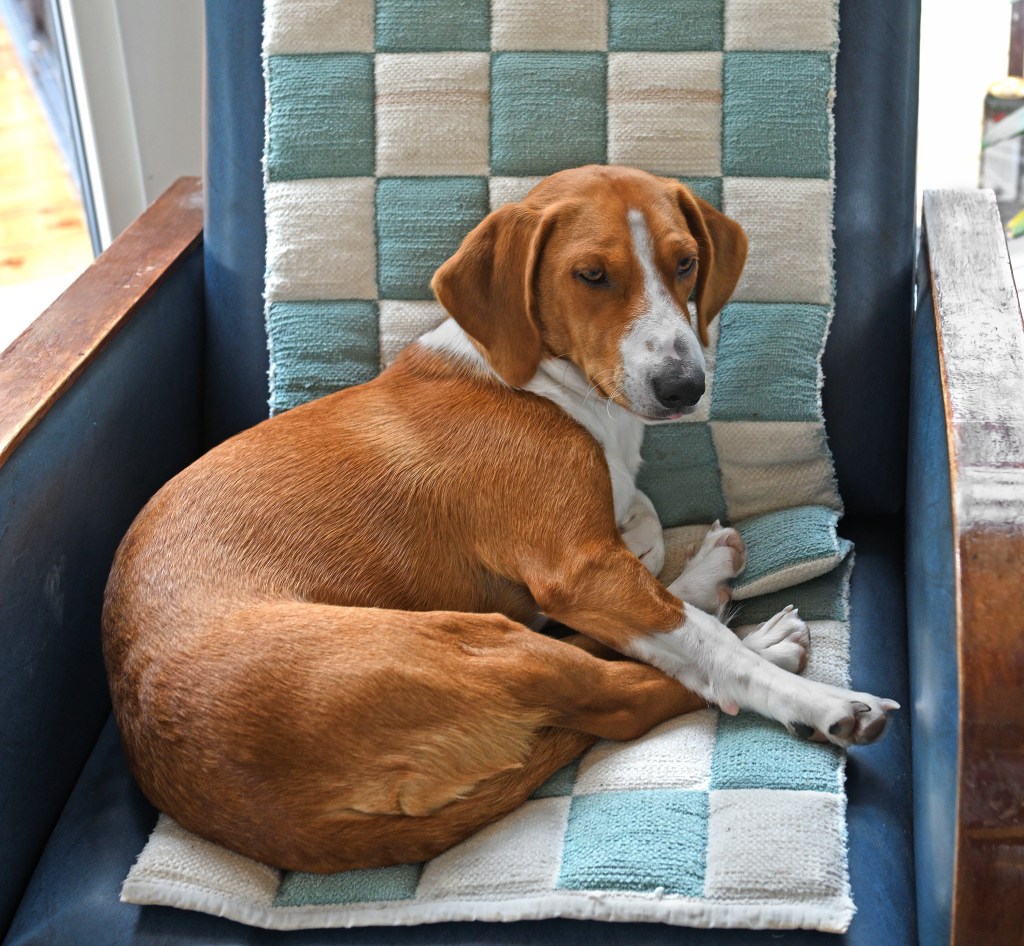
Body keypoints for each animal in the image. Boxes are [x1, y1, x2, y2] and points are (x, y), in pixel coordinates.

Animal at [103, 165, 901, 876]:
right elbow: (693, 643)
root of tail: (276, 827)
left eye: (685, 263)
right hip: (475, 640)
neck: (548, 386)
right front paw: (795, 685)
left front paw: (677, 568)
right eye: (591, 275)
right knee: (633, 696)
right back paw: (787, 666)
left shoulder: (593, 559)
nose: (684, 387)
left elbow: (643, 539)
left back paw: (706, 582)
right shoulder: (576, 569)